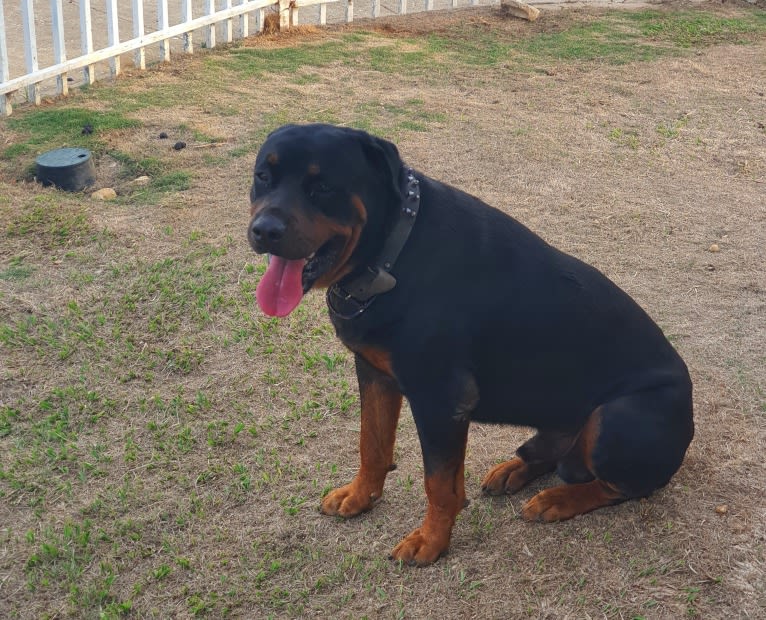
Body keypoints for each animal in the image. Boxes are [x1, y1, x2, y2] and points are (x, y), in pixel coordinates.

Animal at [248, 123, 696, 564]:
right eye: (262, 177)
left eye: (323, 187)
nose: (264, 231)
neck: (391, 255)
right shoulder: (374, 372)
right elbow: (371, 444)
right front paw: (360, 497)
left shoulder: (440, 399)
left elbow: (439, 484)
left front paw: (430, 542)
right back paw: (514, 469)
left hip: (618, 417)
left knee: (620, 486)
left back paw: (558, 499)